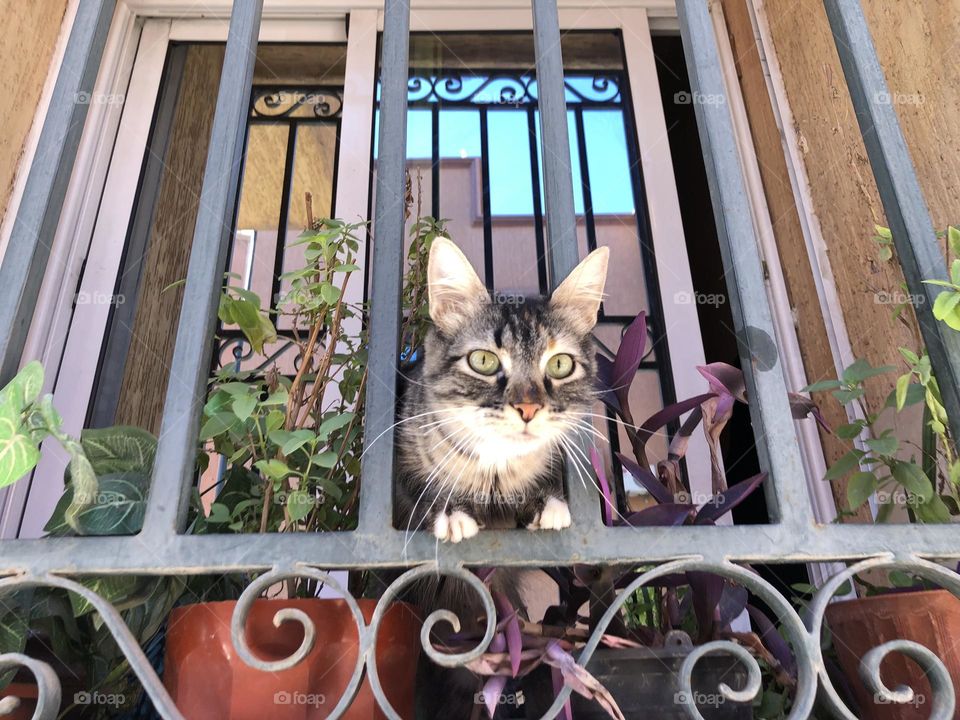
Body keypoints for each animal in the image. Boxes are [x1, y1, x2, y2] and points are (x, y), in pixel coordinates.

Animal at [396, 238, 612, 544]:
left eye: (560, 364)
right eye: (483, 361)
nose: (528, 409)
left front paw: (546, 501)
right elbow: (422, 490)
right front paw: (452, 511)